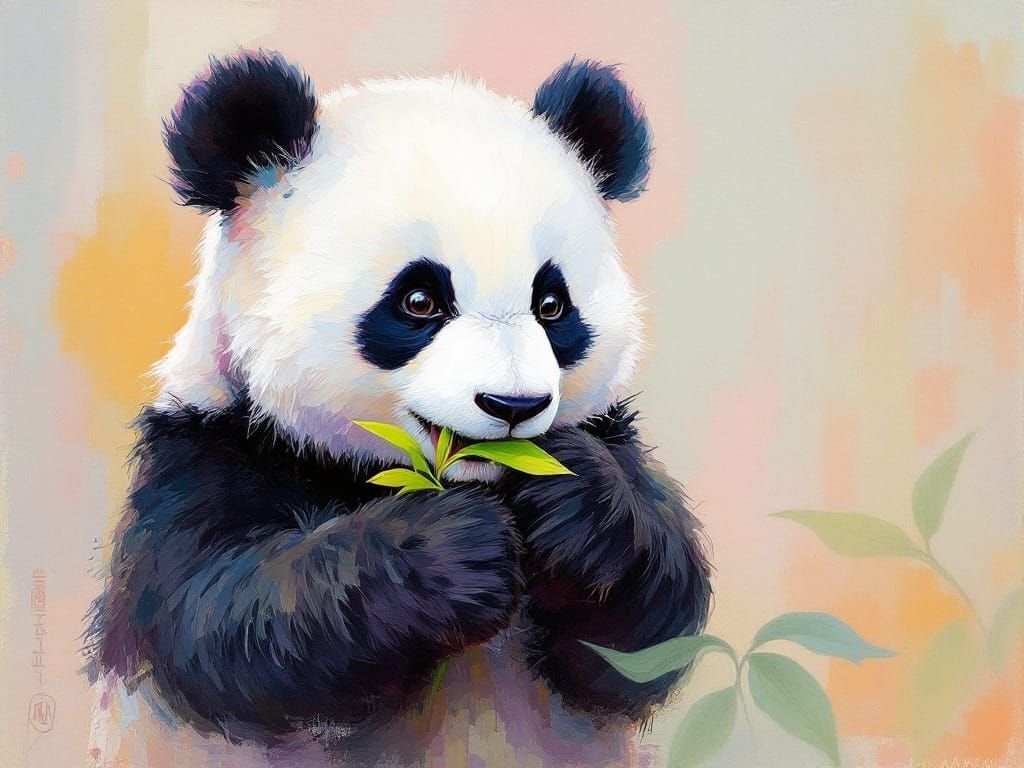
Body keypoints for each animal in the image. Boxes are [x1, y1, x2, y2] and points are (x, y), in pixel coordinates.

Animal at [86, 51, 712, 768]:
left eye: (552, 304)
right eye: (419, 300)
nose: (513, 404)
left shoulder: (614, 438)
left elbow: (644, 639)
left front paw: (574, 503)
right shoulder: (205, 451)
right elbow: (224, 622)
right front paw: (455, 550)